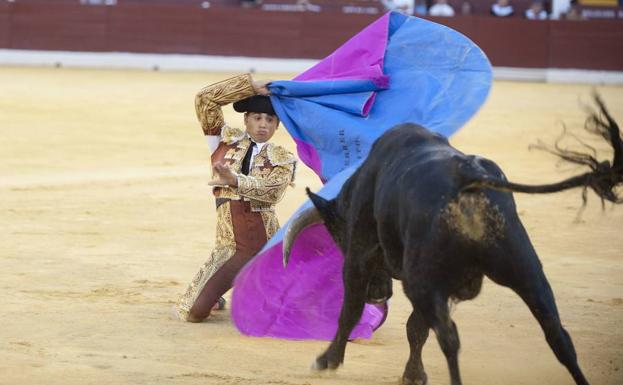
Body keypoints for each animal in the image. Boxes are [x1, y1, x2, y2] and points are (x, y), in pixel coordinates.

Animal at [286, 97, 620, 384]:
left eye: (339, 238)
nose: (378, 295)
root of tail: (466, 176)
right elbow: (416, 328)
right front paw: (414, 375)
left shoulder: (361, 255)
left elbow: (352, 311)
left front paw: (328, 360)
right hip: (525, 268)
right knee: (558, 335)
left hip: (422, 280)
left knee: (449, 337)